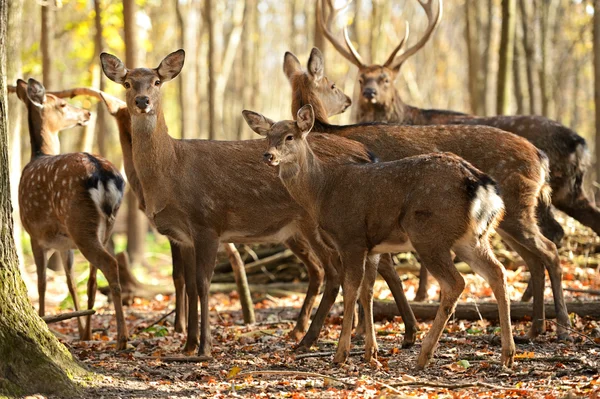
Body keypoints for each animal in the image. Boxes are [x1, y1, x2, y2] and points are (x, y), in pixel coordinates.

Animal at [12, 79, 128, 350]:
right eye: (62, 104)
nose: (87, 113)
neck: (38, 154)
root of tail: (102, 174)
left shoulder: (34, 234)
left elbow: (42, 283)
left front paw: (44, 321)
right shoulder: (64, 245)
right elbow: (71, 283)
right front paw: (80, 329)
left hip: (79, 222)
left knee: (110, 264)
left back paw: (122, 338)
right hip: (104, 226)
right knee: (94, 279)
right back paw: (91, 333)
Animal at [99, 48, 422, 358]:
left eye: (157, 81)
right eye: (127, 83)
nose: (142, 101)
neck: (172, 172)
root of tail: (366, 152)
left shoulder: (207, 222)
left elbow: (203, 284)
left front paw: (204, 348)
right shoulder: (183, 235)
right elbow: (188, 285)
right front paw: (187, 345)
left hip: (322, 222)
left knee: (341, 270)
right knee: (354, 269)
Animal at [244, 104, 516, 370]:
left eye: (290, 136)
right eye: (268, 136)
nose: (268, 155)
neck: (322, 192)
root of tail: (480, 184)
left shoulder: (350, 237)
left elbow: (351, 290)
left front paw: (341, 354)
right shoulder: (372, 248)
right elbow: (368, 291)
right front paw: (370, 353)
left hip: (429, 234)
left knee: (456, 282)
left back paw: (423, 356)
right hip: (472, 238)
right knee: (498, 272)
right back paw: (507, 354)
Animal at [282, 47, 572, 346]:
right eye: (334, 84)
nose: (349, 100)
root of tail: (540, 157)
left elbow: (380, 272)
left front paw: (370, 331)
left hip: (517, 207)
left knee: (549, 250)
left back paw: (561, 327)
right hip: (504, 218)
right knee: (533, 260)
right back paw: (534, 329)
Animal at [318, 0, 596, 255]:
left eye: (385, 79)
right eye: (360, 78)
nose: (369, 93)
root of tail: (580, 143)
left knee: (553, 235)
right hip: (565, 192)